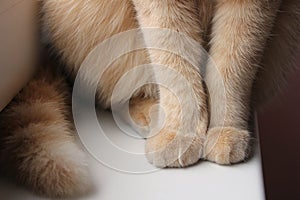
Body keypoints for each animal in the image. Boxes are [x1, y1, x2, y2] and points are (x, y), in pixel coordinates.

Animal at [0, 0, 298, 198]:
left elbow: (232, 64)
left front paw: (226, 129)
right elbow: (174, 58)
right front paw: (179, 133)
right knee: (119, 97)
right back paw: (154, 116)